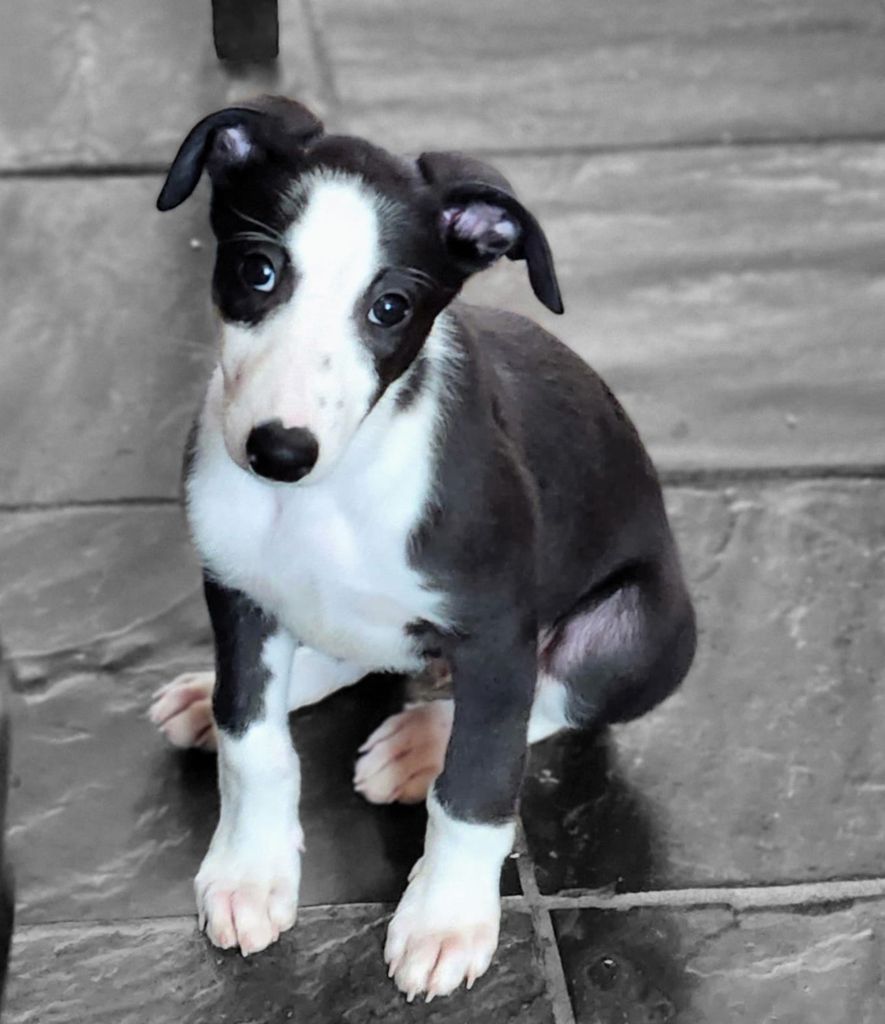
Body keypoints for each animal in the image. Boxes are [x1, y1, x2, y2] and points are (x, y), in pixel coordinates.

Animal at [148, 94, 696, 999]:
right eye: (258, 272)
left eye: (390, 308)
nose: (279, 451)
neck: (324, 500)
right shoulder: (236, 592)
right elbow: (252, 740)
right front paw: (251, 874)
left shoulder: (498, 629)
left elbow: (475, 789)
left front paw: (444, 920)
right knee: (349, 656)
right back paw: (218, 694)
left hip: (642, 628)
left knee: (548, 698)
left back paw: (421, 741)